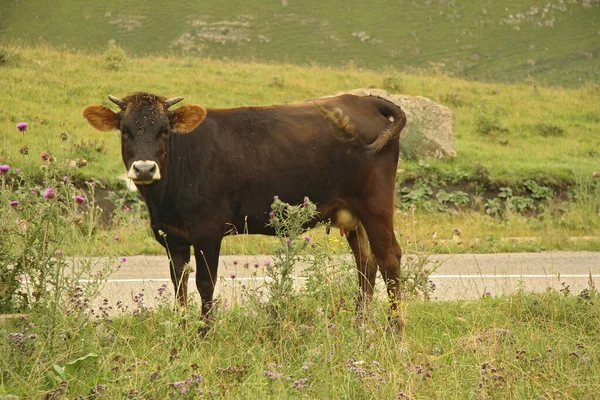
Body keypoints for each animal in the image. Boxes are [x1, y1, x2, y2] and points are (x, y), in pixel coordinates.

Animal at [82, 93, 406, 328]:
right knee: (366, 263)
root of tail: (365, 99)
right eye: (125, 131)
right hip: (352, 213)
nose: (145, 168)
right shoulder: (172, 236)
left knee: (389, 259)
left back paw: (394, 330)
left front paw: (205, 333)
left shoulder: (208, 232)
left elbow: (205, 284)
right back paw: (360, 324)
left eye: (164, 130)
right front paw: (182, 330)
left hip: (375, 205)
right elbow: (179, 284)